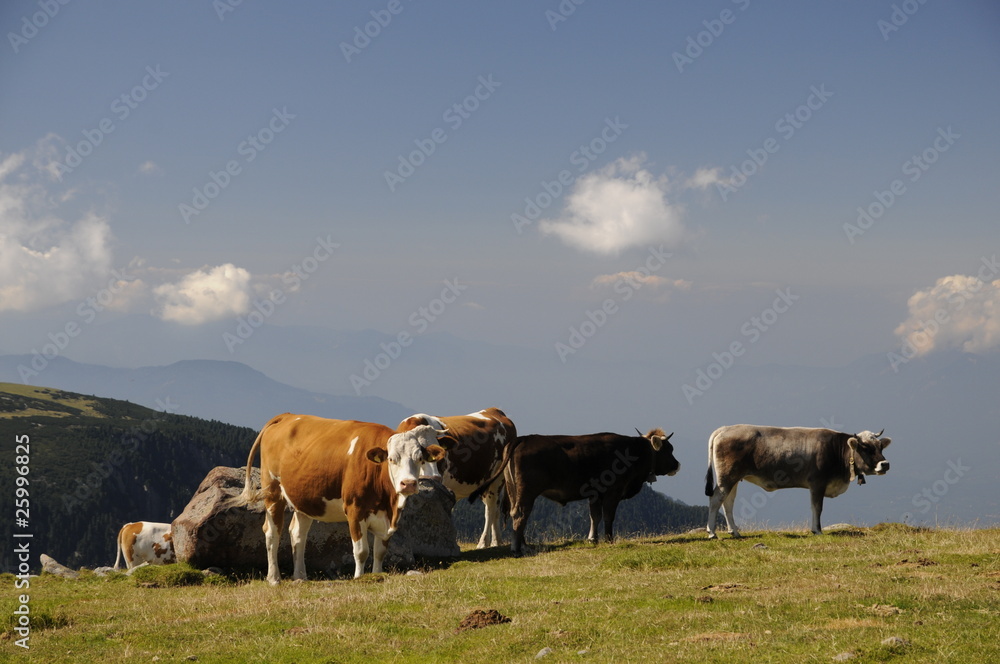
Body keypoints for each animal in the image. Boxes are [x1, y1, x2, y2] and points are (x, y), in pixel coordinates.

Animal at [232, 412, 452, 584]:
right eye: (392, 459)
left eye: (419, 458)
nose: (408, 484)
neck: (389, 501)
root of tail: (285, 416)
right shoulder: (355, 509)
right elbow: (361, 551)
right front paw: (359, 578)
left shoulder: (386, 517)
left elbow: (380, 551)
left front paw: (377, 576)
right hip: (273, 491)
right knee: (272, 533)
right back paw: (274, 578)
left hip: (305, 498)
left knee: (297, 534)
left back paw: (300, 577)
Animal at [398, 408, 520, 548]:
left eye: (439, 450)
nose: (434, 477)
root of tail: (495, 411)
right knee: (496, 510)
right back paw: (496, 542)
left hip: (497, 477)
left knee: (490, 508)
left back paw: (484, 542)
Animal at [472, 428, 676, 556]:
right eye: (669, 450)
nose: (677, 464)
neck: (633, 451)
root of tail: (524, 438)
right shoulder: (613, 492)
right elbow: (608, 516)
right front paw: (609, 539)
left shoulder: (595, 494)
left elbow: (595, 516)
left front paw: (592, 539)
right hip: (527, 492)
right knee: (521, 514)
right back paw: (517, 549)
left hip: (514, 490)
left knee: (517, 515)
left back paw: (524, 545)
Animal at [704, 426, 892, 540]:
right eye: (866, 448)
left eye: (880, 447)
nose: (885, 464)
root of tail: (725, 428)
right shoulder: (817, 483)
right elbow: (817, 507)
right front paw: (817, 530)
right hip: (726, 478)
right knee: (716, 499)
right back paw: (712, 532)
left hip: (733, 478)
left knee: (728, 503)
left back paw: (734, 531)